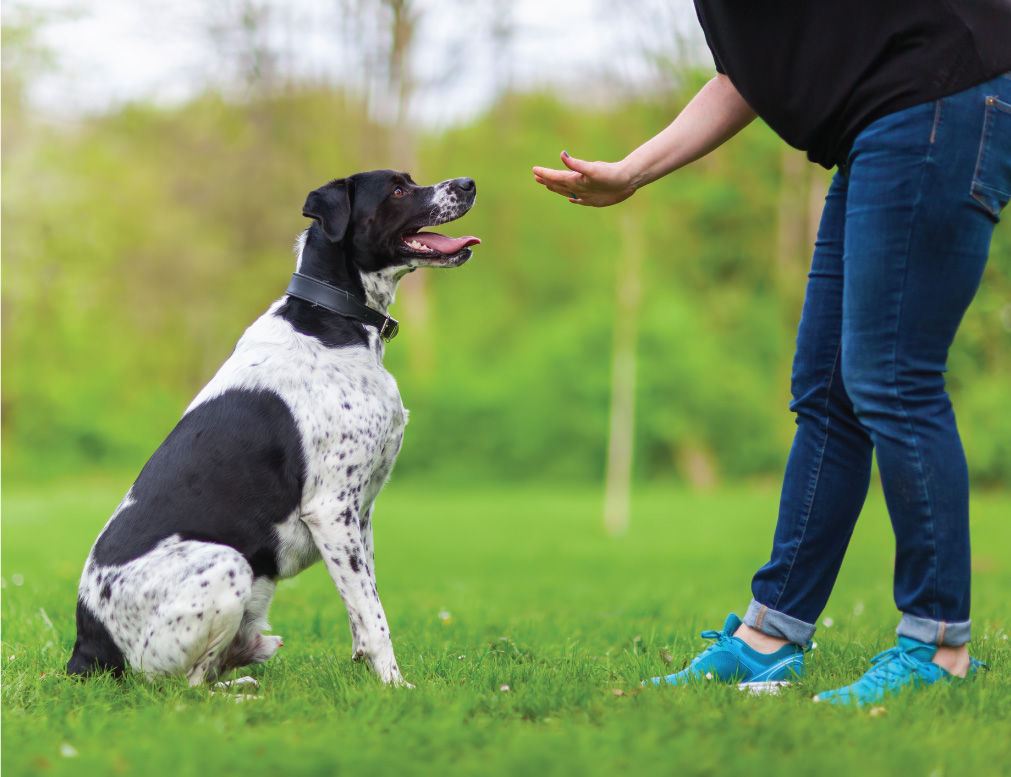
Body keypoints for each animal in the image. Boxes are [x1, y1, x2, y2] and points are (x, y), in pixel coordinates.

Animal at [67, 169, 481, 687]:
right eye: (398, 190)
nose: (468, 183)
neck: (332, 319)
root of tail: (84, 649)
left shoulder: (359, 515)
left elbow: (362, 608)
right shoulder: (331, 509)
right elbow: (375, 616)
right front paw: (395, 686)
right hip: (226, 565)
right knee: (185, 686)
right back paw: (239, 690)